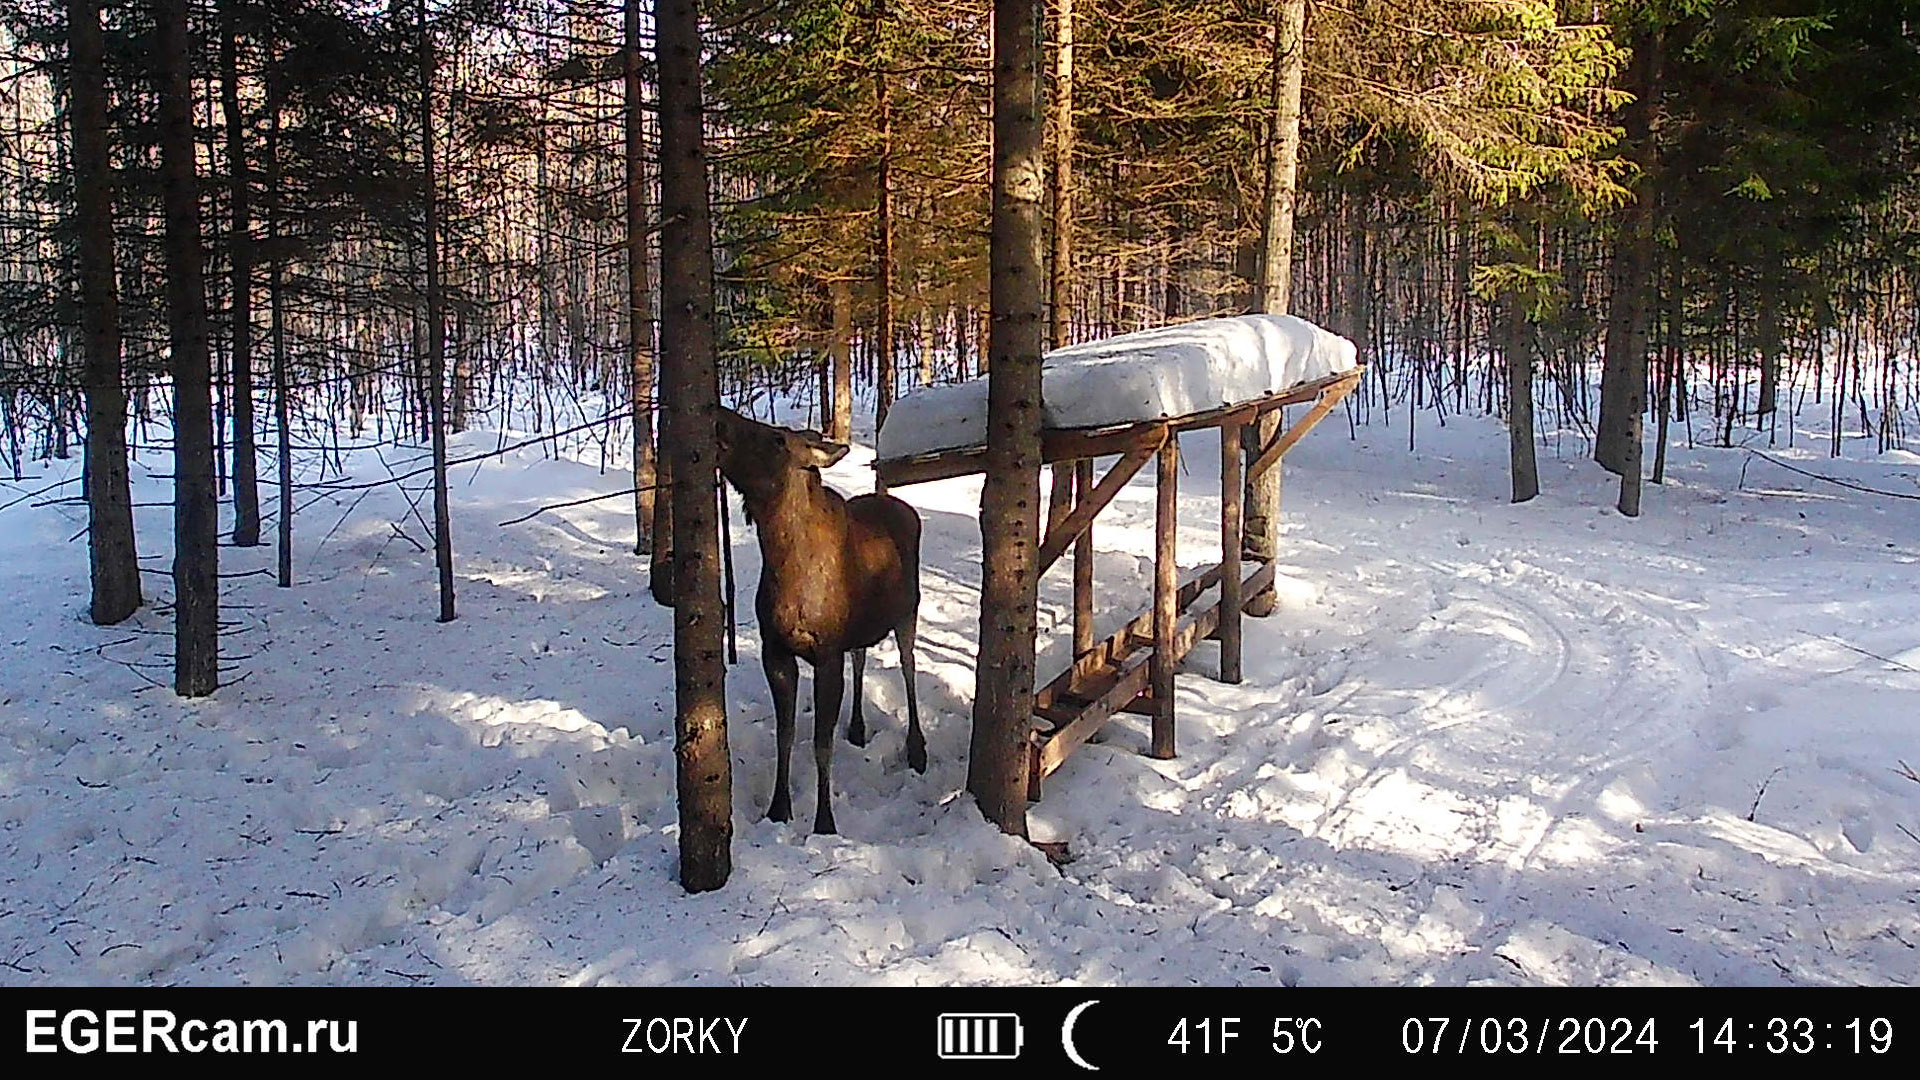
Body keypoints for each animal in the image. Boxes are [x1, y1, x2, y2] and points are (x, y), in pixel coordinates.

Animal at [721, 403, 929, 834]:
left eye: (778, 439)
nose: (718, 419)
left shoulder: (826, 652)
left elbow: (821, 743)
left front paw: (824, 821)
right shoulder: (775, 649)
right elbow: (785, 735)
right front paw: (778, 808)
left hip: (908, 611)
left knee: (908, 666)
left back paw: (916, 749)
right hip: (862, 626)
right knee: (862, 656)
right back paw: (858, 727)